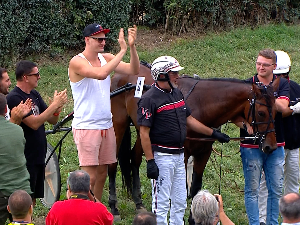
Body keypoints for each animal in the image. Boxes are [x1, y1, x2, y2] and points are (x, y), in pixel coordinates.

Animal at [108, 62, 278, 221]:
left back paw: (138, 202)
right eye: (261, 113)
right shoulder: (183, 154)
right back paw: (114, 207)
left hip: (143, 133)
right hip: (118, 126)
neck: (201, 104)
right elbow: (181, 188)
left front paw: (195, 216)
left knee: (134, 158)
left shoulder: (204, 152)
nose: (271, 146)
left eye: (276, 111)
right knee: (112, 164)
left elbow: (195, 186)